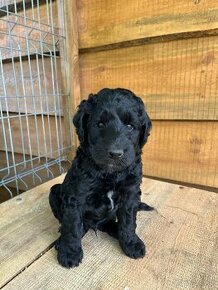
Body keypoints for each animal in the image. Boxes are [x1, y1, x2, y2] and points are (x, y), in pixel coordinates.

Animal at [49, 88, 152, 268]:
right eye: (100, 124)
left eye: (130, 126)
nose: (115, 154)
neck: (110, 173)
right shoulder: (76, 195)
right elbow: (72, 225)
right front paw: (69, 252)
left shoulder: (131, 193)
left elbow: (128, 221)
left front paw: (131, 244)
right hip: (55, 190)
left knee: (109, 222)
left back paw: (115, 230)